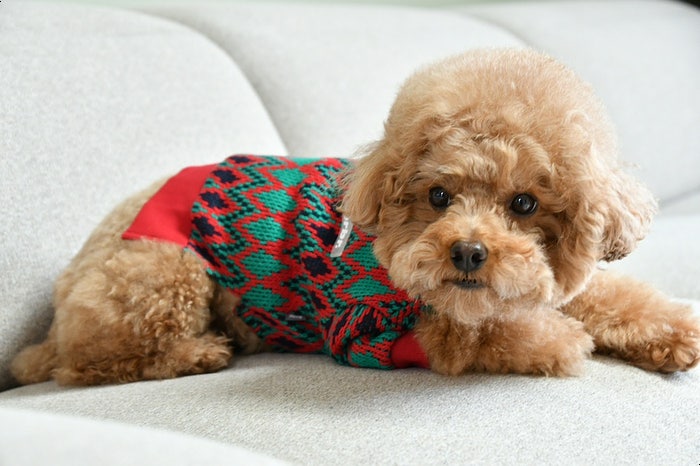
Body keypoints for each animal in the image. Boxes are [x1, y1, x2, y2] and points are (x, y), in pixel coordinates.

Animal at [11, 48, 700, 385]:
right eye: (439, 196)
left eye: (525, 203)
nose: (468, 253)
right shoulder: (366, 329)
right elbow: (473, 336)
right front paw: (556, 342)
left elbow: (611, 295)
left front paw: (676, 330)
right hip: (165, 273)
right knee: (88, 365)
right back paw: (197, 354)